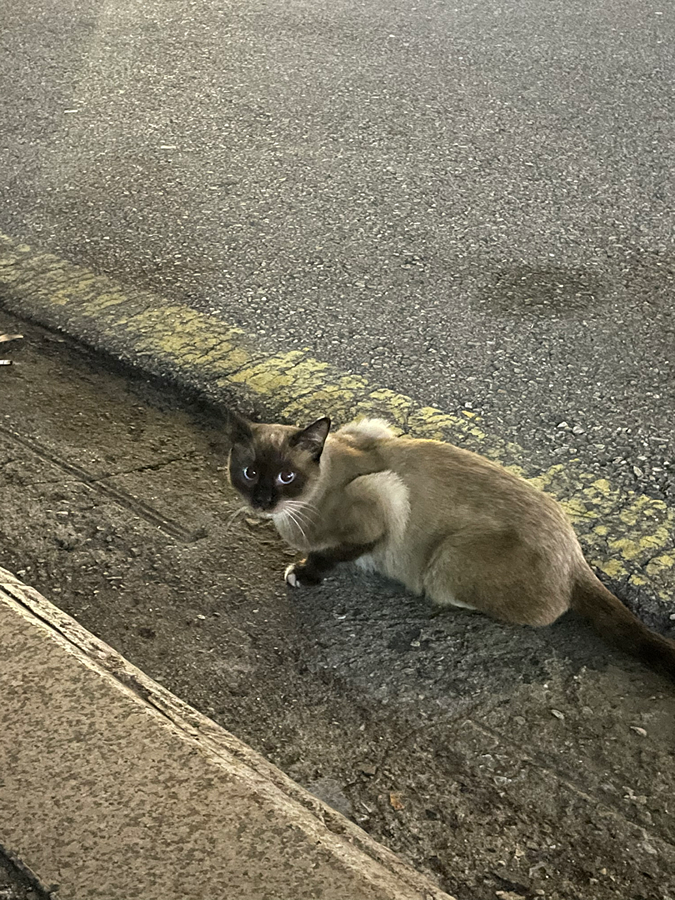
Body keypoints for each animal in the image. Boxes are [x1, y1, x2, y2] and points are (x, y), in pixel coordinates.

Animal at [228, 414, 675, 676]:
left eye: (286, 478)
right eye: (249, 473)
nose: (263, 501)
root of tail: (575, 552)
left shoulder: (384, 497)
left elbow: (335, 552)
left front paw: (304, 572)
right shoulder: (372, 426)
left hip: (446, 560)